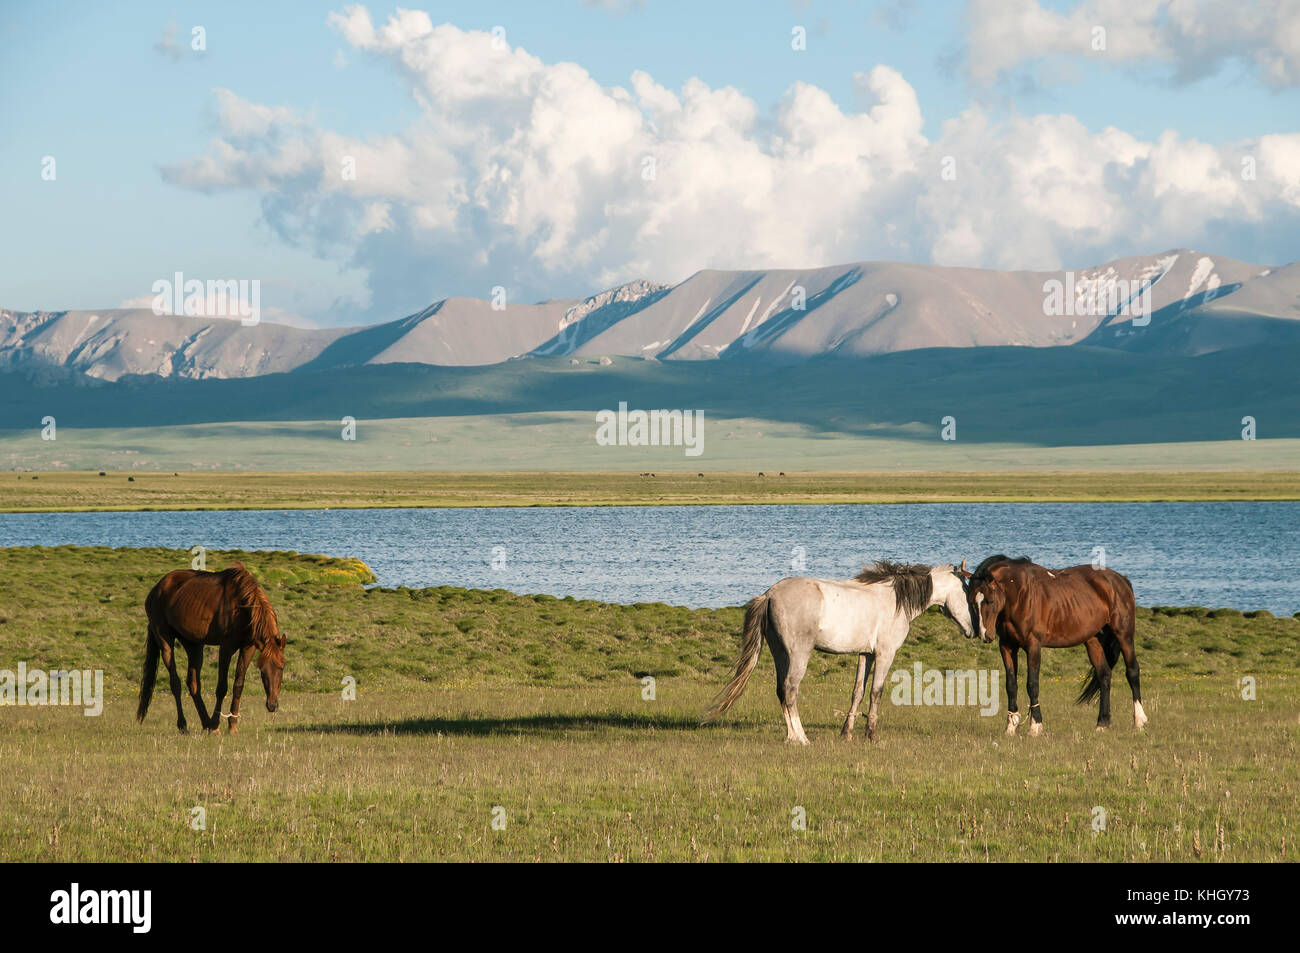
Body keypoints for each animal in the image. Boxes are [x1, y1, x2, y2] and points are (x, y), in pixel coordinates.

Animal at [137, 561, 284, 733]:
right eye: (262, 672)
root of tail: (156, 589)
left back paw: (205, 722)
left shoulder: (248, 648)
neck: (241, 606)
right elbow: (222, 687)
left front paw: (232, 726)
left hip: (193, 644)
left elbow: (238, 685)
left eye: (282, 668)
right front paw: (216, 723)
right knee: (175, 683)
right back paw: (185, 725)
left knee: (193, 684)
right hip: (164, 639)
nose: (272, 705)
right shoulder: (226, 648)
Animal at [707, 556, 977, 743]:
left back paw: (790, 736)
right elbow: (876, 692)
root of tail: (770, 594)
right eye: (967, 591)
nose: (974, 629)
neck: (895, 600)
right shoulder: (885, 655)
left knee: (781, 692)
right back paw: (801, 738)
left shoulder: (865, 655)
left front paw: (846, 734)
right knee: (791, 690)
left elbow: (857, 692)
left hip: (780, 654)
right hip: (798, 655)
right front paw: (872, 735)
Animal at [967, 556, 1149, 738]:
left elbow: (1032, 684)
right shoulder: (1007, 646)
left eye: (990, 600)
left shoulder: (1033, 646)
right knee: (1104, 675)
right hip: (1093, 640)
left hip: (1124, 634)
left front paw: (1035, 726)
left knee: (1132, 672)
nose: (985, 635)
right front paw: (1011, 727)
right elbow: (1011, 685)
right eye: (972, 602)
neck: (1020, 594)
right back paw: (1102, 723)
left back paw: (1139, 720)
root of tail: (1121, 580)